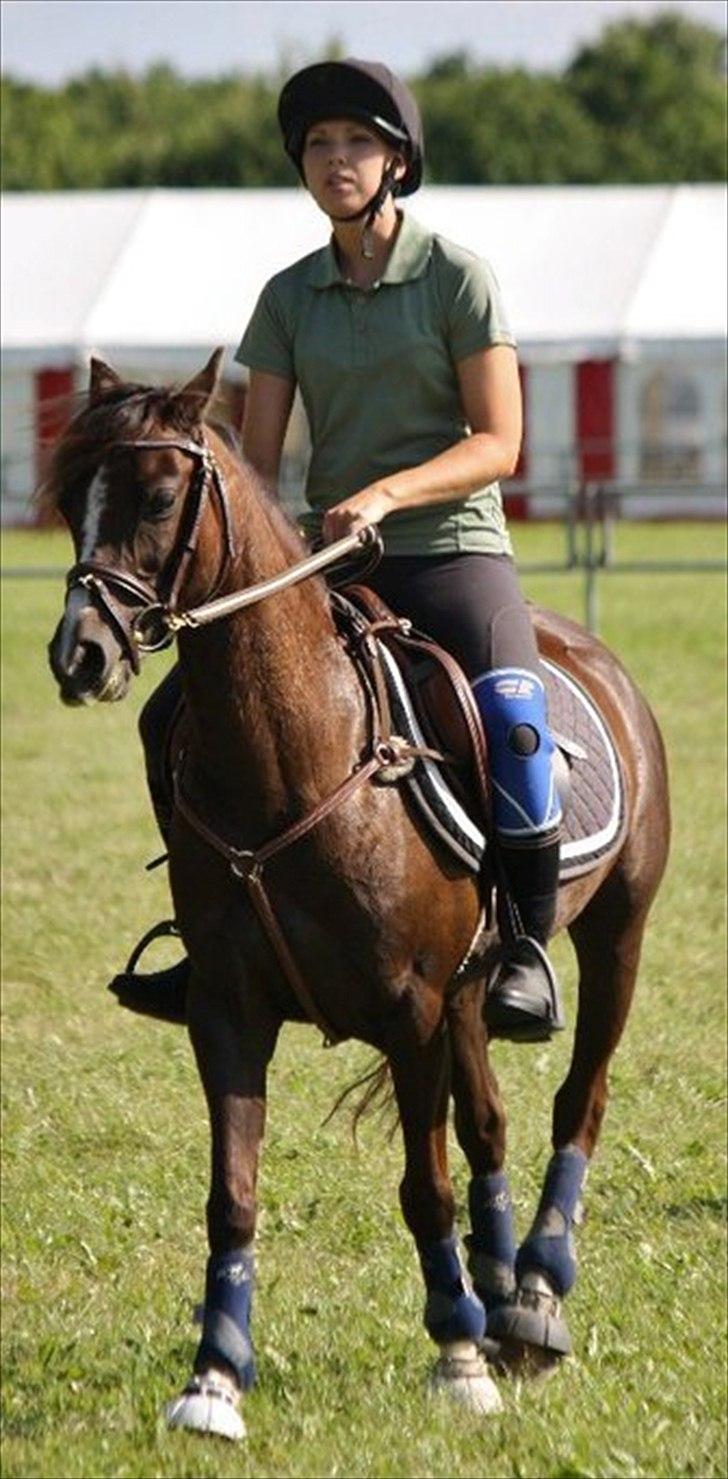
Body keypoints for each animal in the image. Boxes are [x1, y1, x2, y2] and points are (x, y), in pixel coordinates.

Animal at [46, 350, 670, 1439]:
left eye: (159, 497)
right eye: (67, 498)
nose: (79, 653)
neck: (295, 756)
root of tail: (589, 653)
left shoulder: (411, 1009)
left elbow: (424, 1187)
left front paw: (456, 1359)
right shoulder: (230, 1011)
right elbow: (233, 1191)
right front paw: (213, 1379)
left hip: (614, 935)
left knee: (576, 1102)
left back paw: (533, 1297)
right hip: (472, 993)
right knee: (490, 1123)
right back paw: (498, 1294)